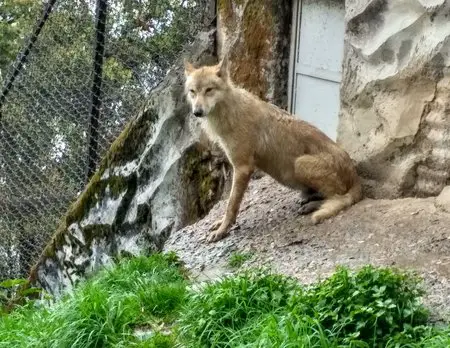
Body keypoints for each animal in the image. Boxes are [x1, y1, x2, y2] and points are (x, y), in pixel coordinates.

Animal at [183, 56, 362, 242]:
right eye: (193, 91)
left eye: (209, 90)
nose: (197, 112)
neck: (229, 112)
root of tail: (355, 175)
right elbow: (230, 205)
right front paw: (220, 224)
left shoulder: (242, 168)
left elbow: (231, 205)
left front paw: (223, 230)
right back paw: (309, 199)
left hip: (301, 164)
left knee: (337, 197)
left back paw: (313, 205)